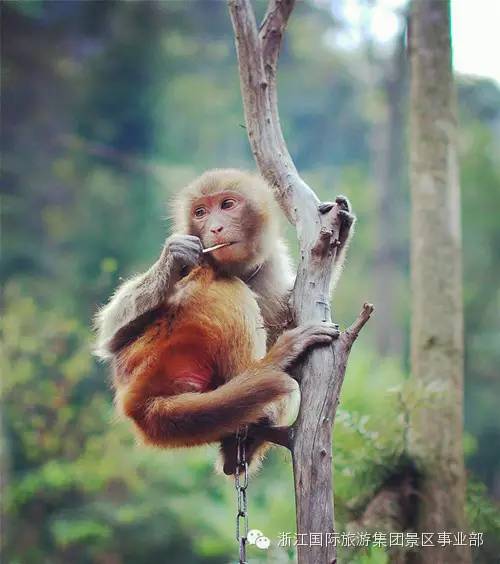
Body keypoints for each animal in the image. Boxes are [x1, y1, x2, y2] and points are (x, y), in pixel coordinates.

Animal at [94, 170, 356, 474]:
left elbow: (287, 311)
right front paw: (173, 257)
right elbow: (111, 336)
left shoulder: (270, 262)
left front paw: (340, 228)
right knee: (227, 286)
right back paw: (271, 368)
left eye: (227, 205)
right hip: (171, 347)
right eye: (200, 212)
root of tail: (139, 401)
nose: (216, 228)